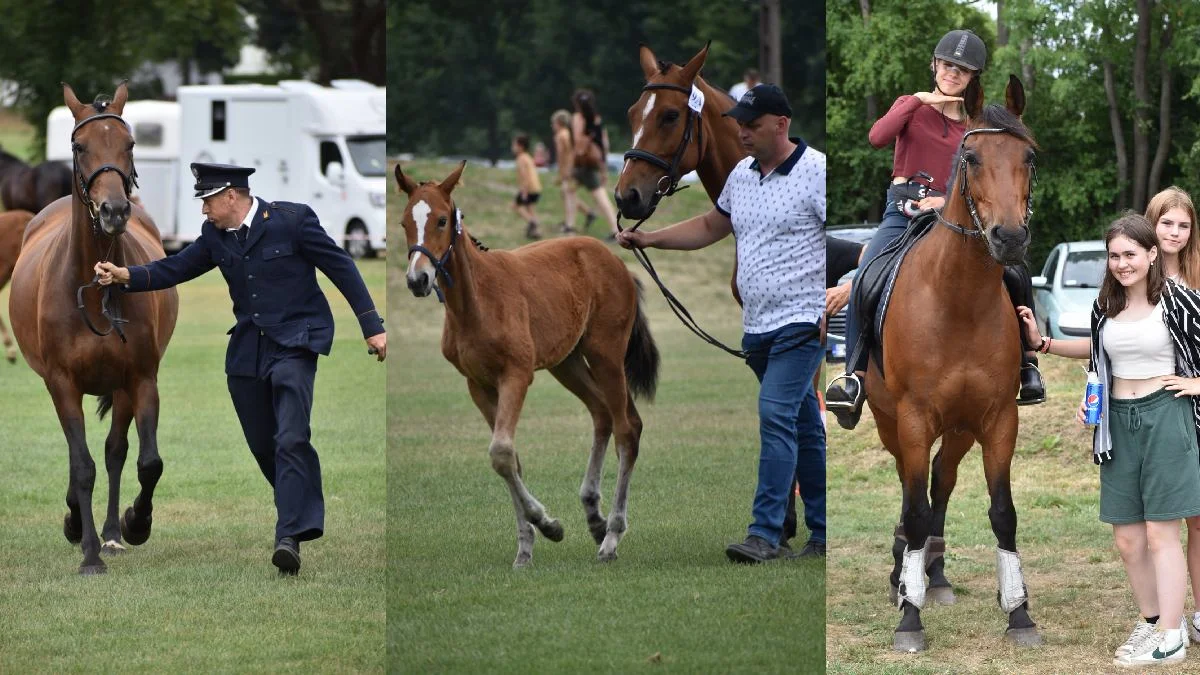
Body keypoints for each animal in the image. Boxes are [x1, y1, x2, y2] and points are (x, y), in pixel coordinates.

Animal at [11, 82, 177, 571]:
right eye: (79, 146)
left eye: (131, 144)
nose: (115, 210)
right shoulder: (61, 382)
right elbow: (80, 465)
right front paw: (87, 554)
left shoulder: (140, 379)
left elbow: (147, 462)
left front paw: (135, 524)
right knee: (79, 456)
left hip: (120, 389)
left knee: (115, 451)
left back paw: (111, 534)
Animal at [398, 159, 662, 564]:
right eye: (404, 223)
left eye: (442, 220)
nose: (418, 279)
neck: (477, 302)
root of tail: (618, 264)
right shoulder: (478, 385)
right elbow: (510, 457)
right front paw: (527, 544)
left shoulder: (517, 375)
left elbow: (501, 452)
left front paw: (545, 523)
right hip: (566, 362)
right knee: (601, 413)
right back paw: (594, 516)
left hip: (605, 353)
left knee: (627, 427)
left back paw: (612, 536)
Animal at [864, 76, 1041, 648]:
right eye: (971, 156)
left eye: (1029, 157)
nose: (1010, 239)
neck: (959, 299)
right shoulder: (914, 417)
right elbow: (915, 508)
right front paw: (909, 617)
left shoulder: (997, 418)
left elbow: (1003, 512)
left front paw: (1019, 613)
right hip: (891, 421)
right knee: (910, 485)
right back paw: (904, 574)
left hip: (960, 426)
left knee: (940, 480)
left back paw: (933, 574)